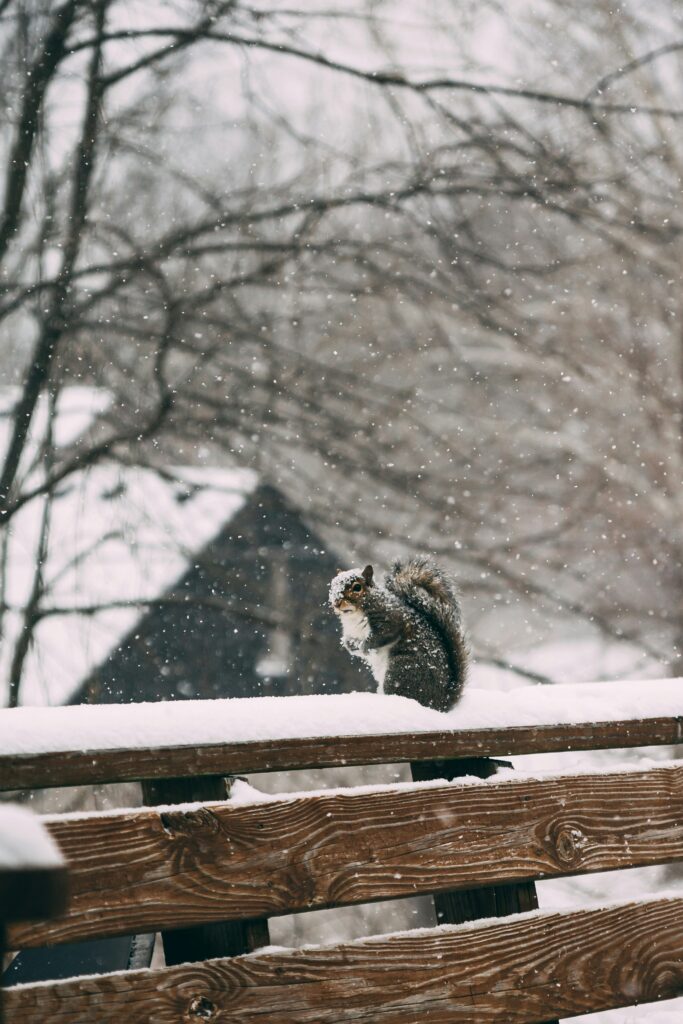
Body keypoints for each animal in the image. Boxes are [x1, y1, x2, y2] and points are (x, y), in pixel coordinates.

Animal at [329, 557, 468, 712]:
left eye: (357, 587)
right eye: (333, 585)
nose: (336, 602)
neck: (353, 616)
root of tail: (440, 702)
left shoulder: (390, 619)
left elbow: (383, 635)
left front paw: (365, 646)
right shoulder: (351, 631)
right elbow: (351, 641)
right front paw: (350, 645)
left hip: (401, 670)